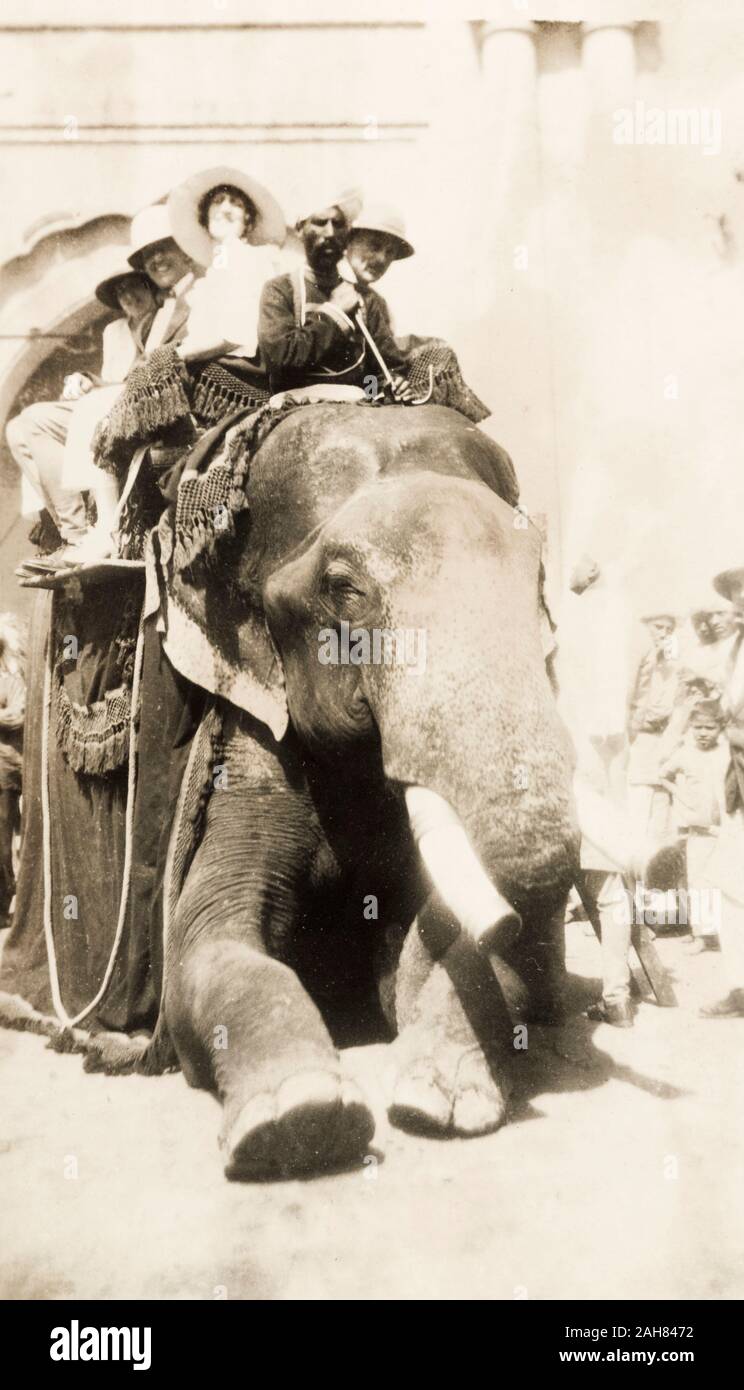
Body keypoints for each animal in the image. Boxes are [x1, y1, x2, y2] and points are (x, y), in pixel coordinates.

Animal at [146, 400, 575, 1173]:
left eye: (536, 580)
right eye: (343, 587)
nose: (500, 919)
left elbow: (510, 955)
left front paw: (440, 1099)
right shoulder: (250, 744)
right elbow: (211, 940)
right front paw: (299, 1118)